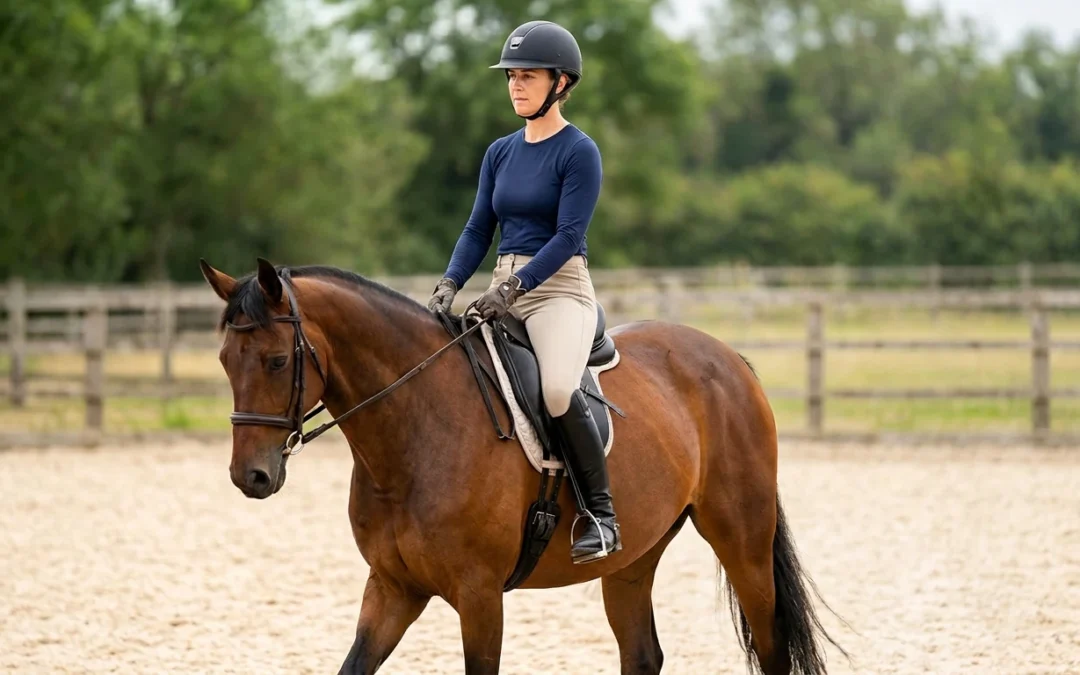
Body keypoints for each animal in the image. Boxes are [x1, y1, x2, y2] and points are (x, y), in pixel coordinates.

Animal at [199, 257, 847, 675]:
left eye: (277, 360)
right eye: (226, 359)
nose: (250, 477)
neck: (415, 432)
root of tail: (726, 356)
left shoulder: (480, 595)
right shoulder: (391, 588)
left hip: (742, 539)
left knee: (770, 645)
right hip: (635, 556)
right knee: (642, 654)